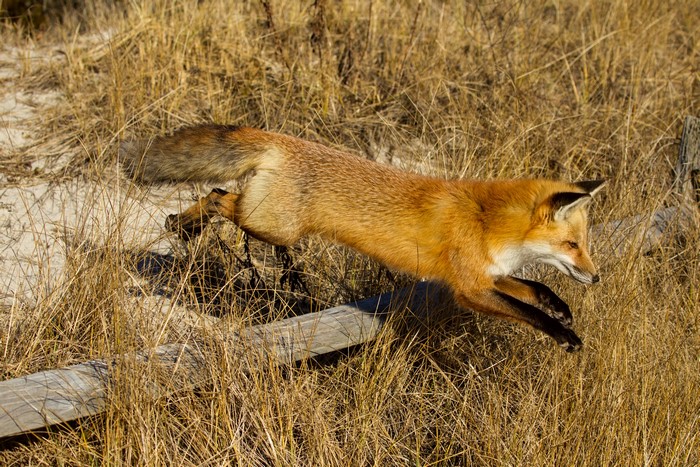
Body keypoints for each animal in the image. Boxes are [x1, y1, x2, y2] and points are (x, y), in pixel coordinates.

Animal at [120, 124, 605, 352]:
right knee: (220, 197)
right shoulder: (469, 288)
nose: (597, 277)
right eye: (572, 246)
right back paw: (183, 226)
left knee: (219, 193)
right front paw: (563, 334)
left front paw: (560, 308)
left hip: (266, 220)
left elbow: (534, 288)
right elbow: (527, 311)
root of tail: (282, 138)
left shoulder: (488, 275)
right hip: (268, 223)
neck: (488, 222)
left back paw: (182, 225)